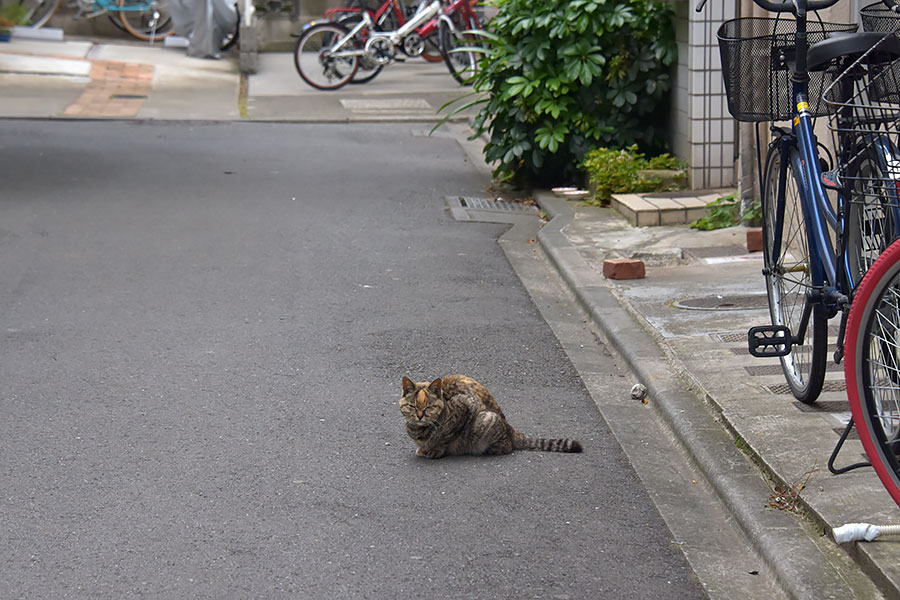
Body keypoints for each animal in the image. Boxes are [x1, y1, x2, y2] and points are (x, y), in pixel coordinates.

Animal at [400, 376, 584, 460]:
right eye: (412, 406)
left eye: (429, 407)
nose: (420, 415)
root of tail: (509, 426)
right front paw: (424, 449)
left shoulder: (466, 405)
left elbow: (446, 437)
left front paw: (434, 450)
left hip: (486, 420)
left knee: (507, 446)